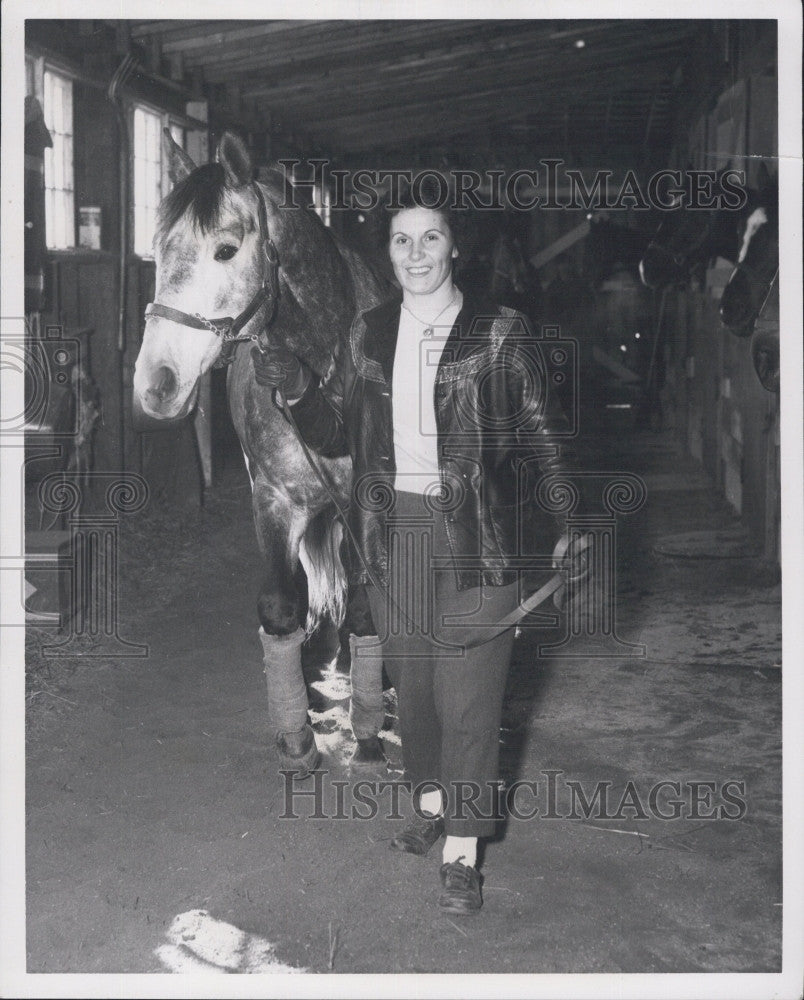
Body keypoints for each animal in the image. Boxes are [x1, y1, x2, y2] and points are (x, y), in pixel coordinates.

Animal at [133, 133, 392, 772]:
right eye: (156, 249)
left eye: (226, 250)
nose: (155, 383)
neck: (320, 357)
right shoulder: (273, 500)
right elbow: (281, 605)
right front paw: (297, 735)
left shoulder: (366, 502)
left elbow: (365, 604)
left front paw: (366, 728)